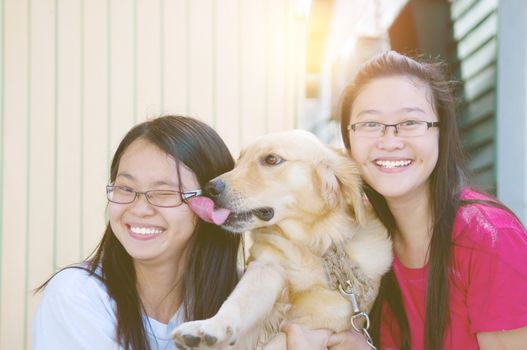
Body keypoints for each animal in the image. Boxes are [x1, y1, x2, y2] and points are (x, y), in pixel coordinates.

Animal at [172, 130, 392, 348]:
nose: (210, 188)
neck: (310, 245)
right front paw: (210, 327)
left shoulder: (325, 317)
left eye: (271, 159)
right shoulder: (266, 266)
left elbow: (278, 340)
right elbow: (237, 301)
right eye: (240, 160)